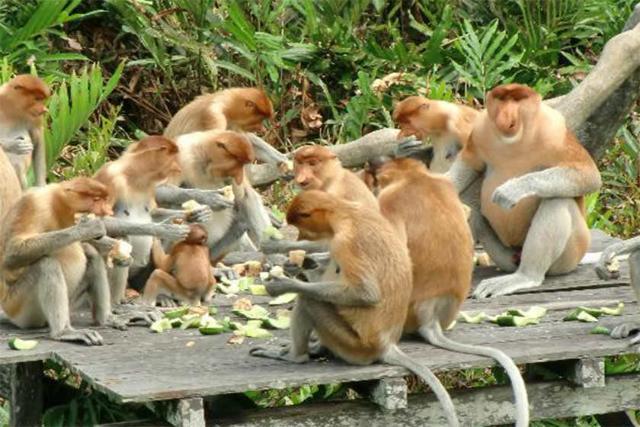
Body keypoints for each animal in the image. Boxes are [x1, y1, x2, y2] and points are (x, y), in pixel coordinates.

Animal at [0, 177, 154, 345]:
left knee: (91, 255)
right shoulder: (34, 203)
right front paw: (87, 228)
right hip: (19, 308)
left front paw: (118, 252)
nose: (106, 212)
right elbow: (12, 253)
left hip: (71, 302)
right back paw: (63, 332)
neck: (58, 205)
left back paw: (106, 319)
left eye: (104, 199)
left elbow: (90, 244)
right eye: (96, 199)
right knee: (46, 265)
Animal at [93, 136, 192, 305]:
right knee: (122, 239)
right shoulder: (110, 178)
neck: (133, 174)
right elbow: (99, 220)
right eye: (173, 158)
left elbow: (154, 211)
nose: (178, 168)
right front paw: (161, 229)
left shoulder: (151, 185)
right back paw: (118, 302)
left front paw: (193, 215)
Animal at [250, 190, 460, 427]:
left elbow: (366, 293)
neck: (344, 211)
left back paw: (296, 356)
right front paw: (286, 255)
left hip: (353, 345)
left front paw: (284, 284)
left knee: (310, 300)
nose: (297, 237)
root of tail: (386, 344)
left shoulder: (345, 240)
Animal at [446, 83, 601, 298]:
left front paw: (512, 190)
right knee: (466, 204)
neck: (515, 141)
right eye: (502, 100)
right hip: (502, 254)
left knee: (557, 201)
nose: (505, 116)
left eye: (516, 100)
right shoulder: (479, 131)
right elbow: (468, 166)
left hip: (574, 252)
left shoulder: (556, 131)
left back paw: (526, 276)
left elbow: (589, 175)